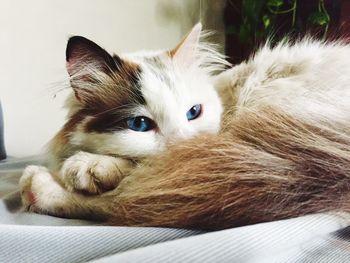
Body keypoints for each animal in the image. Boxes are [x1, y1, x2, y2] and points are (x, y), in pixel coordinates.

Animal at [19, 25, 350, 231]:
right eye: (139, 124)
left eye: (194, 113)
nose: (186, 147)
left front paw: (89, 167)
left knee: (135, 200)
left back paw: (40, 186)